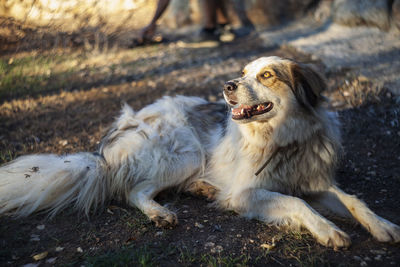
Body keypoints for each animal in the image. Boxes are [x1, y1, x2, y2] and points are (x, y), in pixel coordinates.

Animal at [0, 56, 400, 249]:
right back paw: (160, 213)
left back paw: (202, 188)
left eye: (267, 75)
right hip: (186, 153)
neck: (282, 139)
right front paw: (328, 231)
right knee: (134, 190)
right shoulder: (246, 193)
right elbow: (297, 203)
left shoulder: (313, 181)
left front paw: (383, 225)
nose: (227, 86)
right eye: (243, 72)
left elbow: (353, 200)